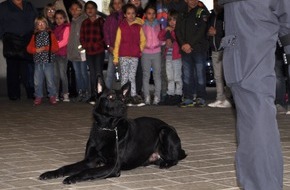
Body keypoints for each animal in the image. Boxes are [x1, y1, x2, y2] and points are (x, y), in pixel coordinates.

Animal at [38, 76, 186, 184]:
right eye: (110, 97)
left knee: (175, 158)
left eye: (123, 98)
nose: (123, 107)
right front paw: (51, 173)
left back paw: (166, 163)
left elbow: (88, 172)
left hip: (164, 132)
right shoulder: (89, 160)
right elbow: (67, 167)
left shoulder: (113, 166)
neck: (107, 128)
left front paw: (72, 177)